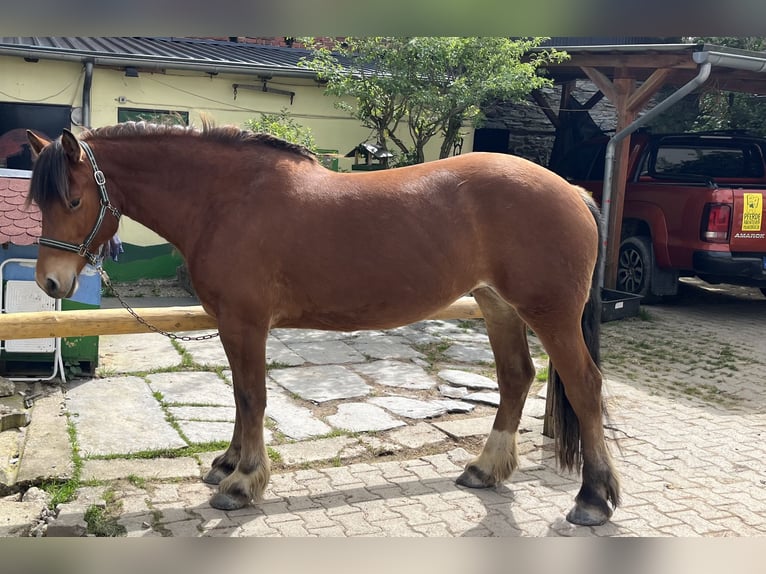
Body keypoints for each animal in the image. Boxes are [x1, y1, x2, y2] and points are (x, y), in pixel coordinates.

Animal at [25, 121, 620, 526]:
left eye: (73, 199)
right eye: (40, 202)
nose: (50, 282)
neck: (227, 199)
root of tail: (572, 190)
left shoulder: (246, 323)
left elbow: (252, 396)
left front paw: (242, 483)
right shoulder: (232, 325)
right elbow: (240, 396)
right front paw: (228, 463)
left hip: (550, 315)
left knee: (584, 387)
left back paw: (592, 498)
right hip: (497, 306)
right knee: (516, 377)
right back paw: (484, 469)